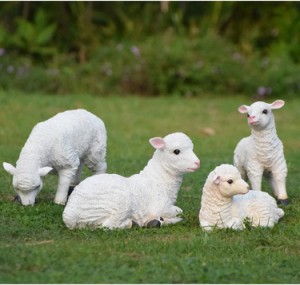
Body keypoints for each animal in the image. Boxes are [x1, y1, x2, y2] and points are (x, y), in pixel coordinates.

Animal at [62, 132, 200, 230]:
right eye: (176, 151)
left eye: (193, 148)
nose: (197, 163)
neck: (159, 179)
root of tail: (70, 215)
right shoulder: (161, 206)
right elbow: (179, 211)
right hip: (119, 204)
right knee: (108, 225)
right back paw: (134, 223)